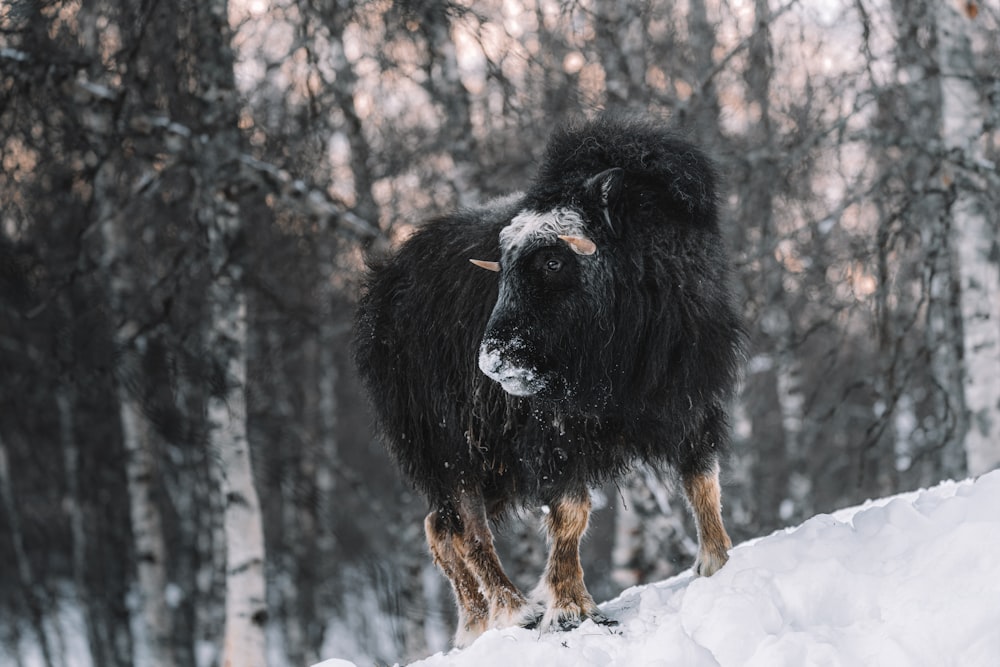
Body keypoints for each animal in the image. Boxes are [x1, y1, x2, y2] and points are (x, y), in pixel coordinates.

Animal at [356, 113, 748, 648]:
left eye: (553, 261)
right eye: (502, 266)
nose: (493, 363)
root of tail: (383, 289)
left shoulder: (689, 401)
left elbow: (702, 481)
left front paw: (717, 564)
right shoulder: (555, 436)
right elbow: (570, 512)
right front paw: (569, 608)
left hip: (487, 466)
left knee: (441, 526)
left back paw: (474, 626)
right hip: (448, 447)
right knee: (468, 529)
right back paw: (513, 611)